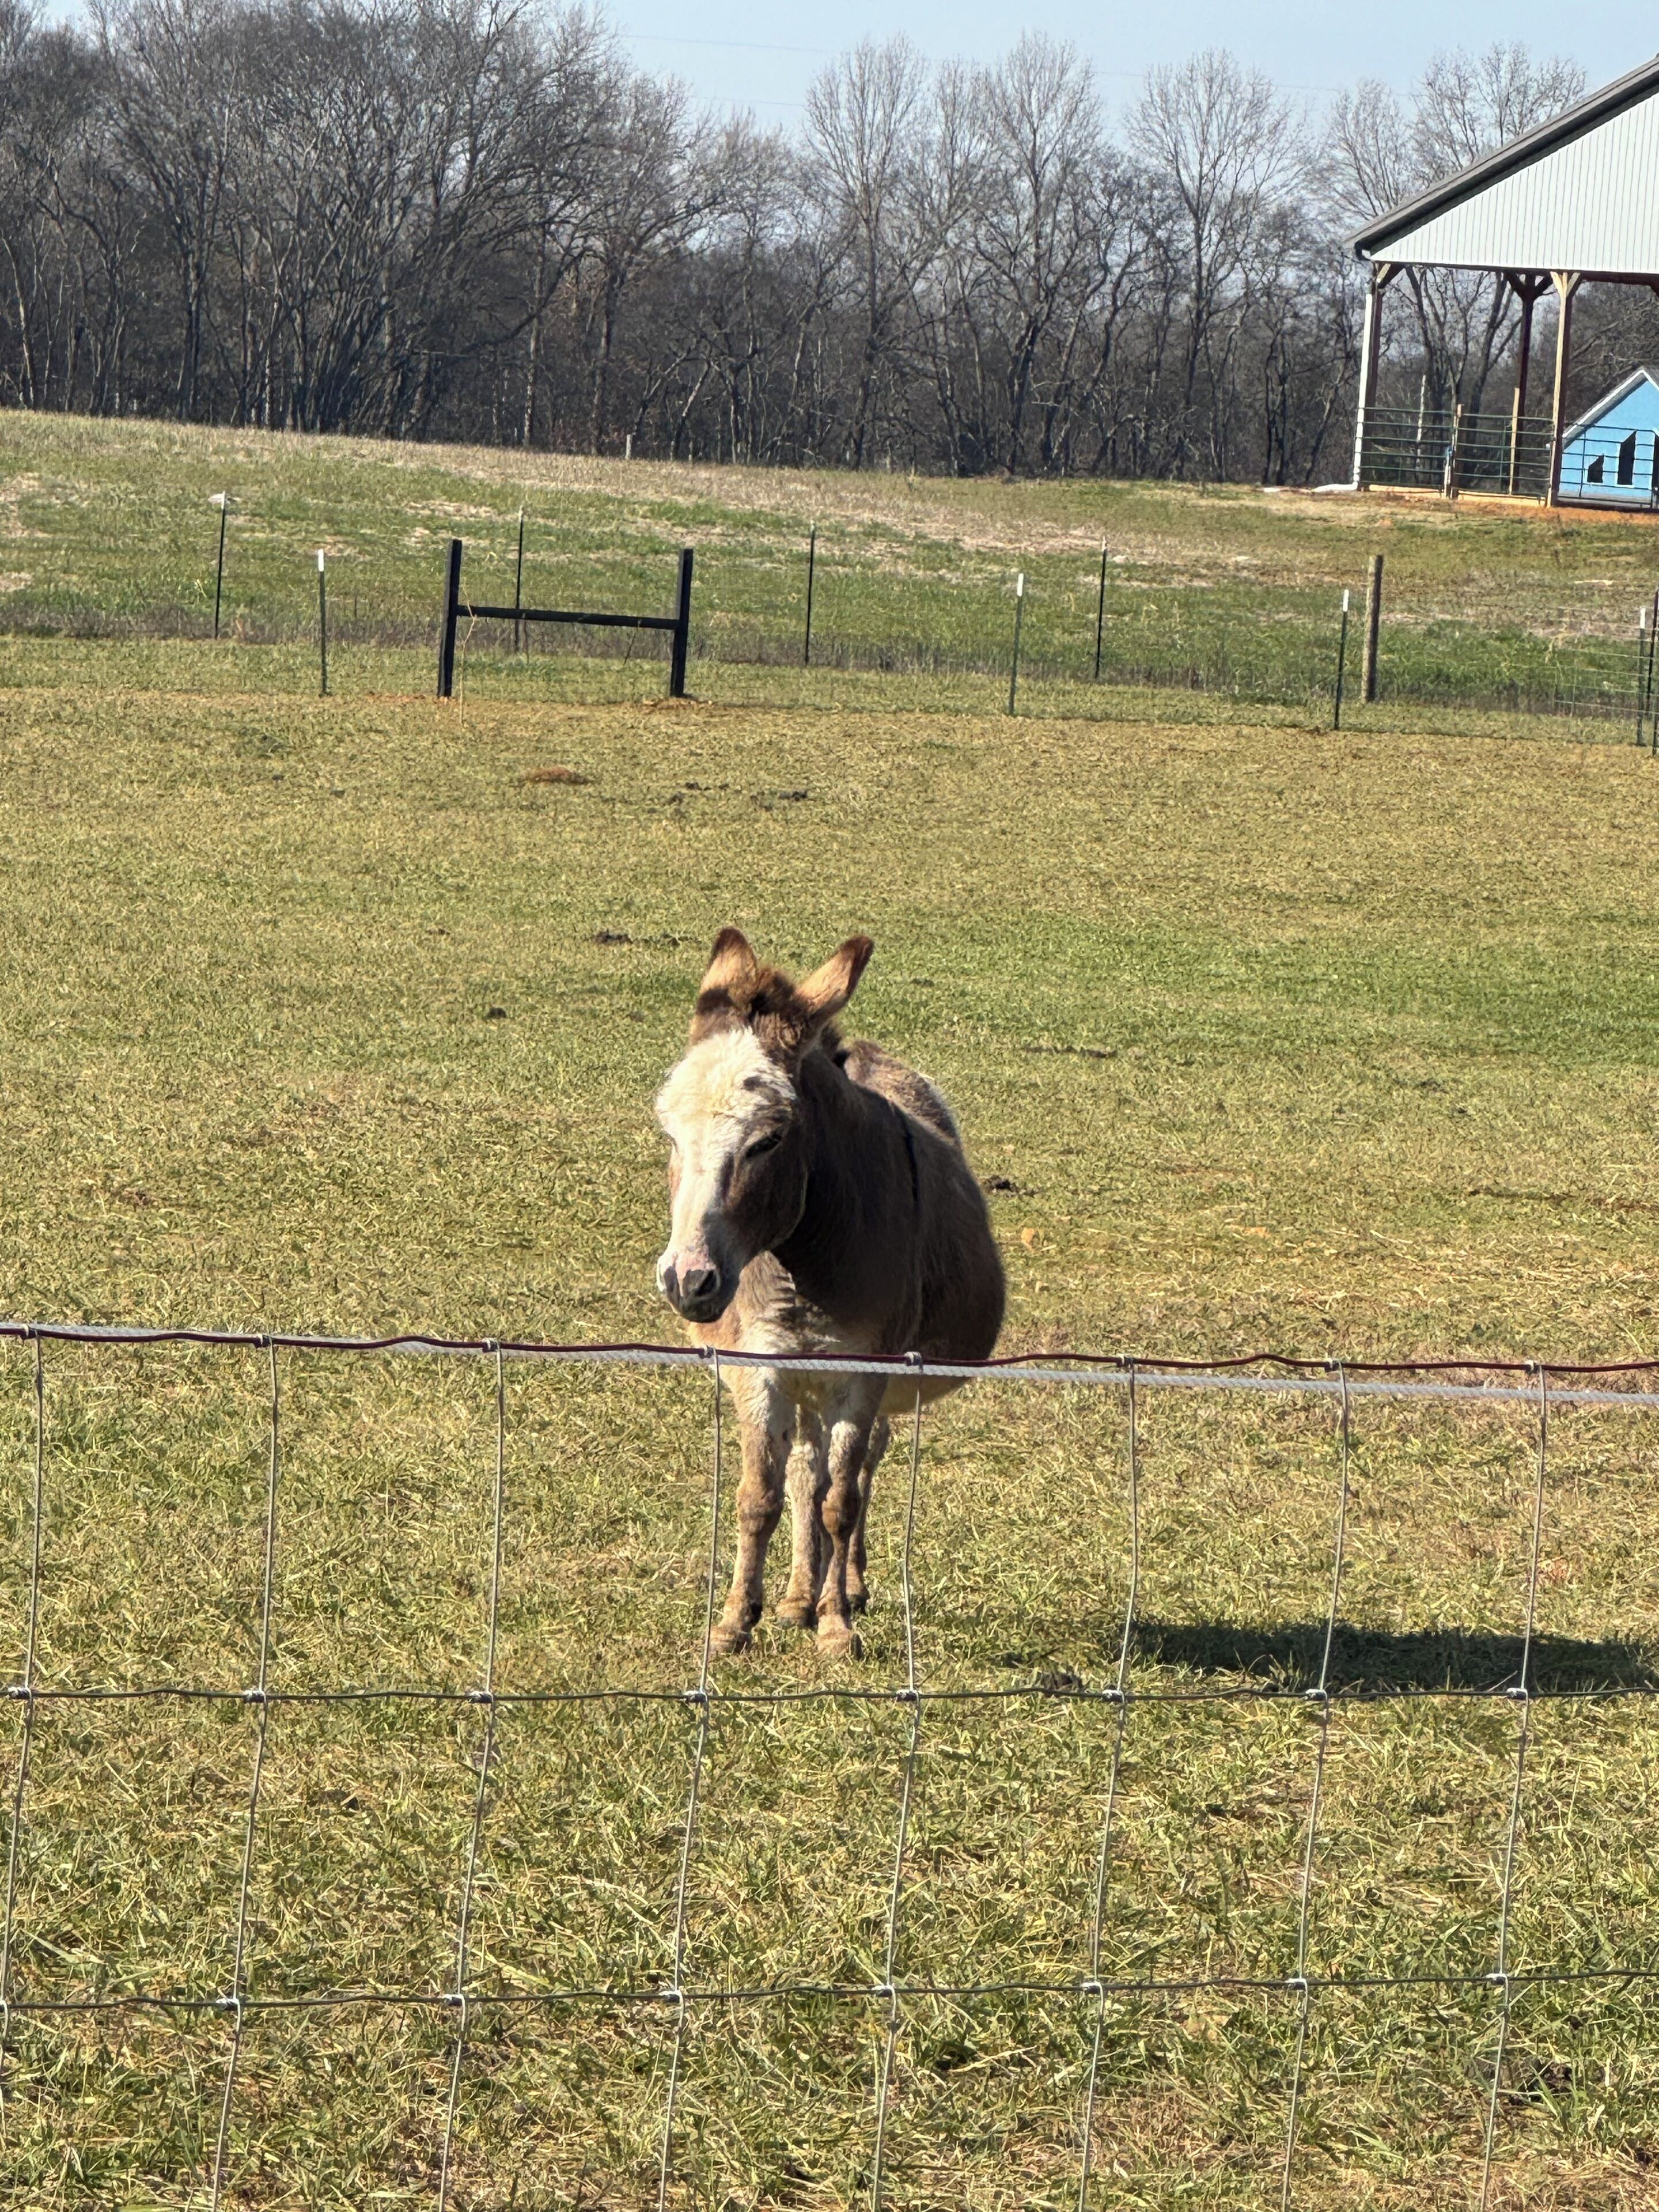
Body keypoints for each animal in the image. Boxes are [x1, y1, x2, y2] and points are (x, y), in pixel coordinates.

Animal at [654, 928, 1005, 1656]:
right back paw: (796, 1597)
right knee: (804, 1473)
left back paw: (844, 1589)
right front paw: (736, 1623)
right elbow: (760, 1497)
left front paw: (839, 1628)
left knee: (860, 1469)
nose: (688, 1281)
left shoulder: (860, 1373)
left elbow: (843, 1501)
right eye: (668, 1133)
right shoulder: (759, 1368)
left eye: (768, 1141)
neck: (801, 1262)